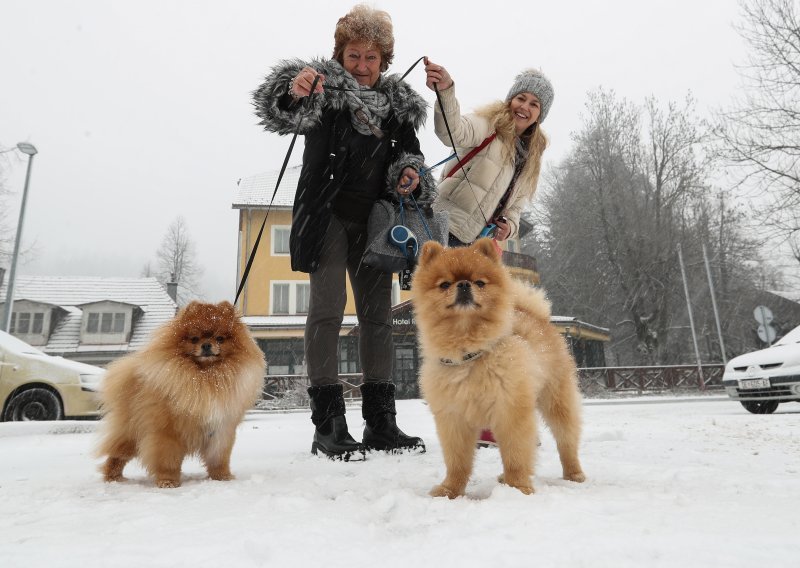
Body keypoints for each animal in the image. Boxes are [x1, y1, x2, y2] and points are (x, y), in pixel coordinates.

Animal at [96, 302, 266, 488]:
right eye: (194, 339)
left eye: (220, 338)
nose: (206, 345)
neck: (206, 376)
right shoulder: (168, 432)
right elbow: (167, 459)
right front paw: (168, 481)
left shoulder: (221, 431)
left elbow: (218, 459)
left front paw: (222, 477)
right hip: (131, 434)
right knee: (116, 455)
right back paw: (113, 478)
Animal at [412, 240, 588, 496]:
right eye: (444, 284)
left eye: (479, 282)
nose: (463, 284)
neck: (470, 354)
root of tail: (536, 316)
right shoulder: (453, 419)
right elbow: (457, 462)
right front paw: (450, 490)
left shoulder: (510, 411)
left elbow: (515, 455)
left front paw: (519, 488)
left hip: (556, 402)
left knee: (566, 440)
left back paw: (573, 473)